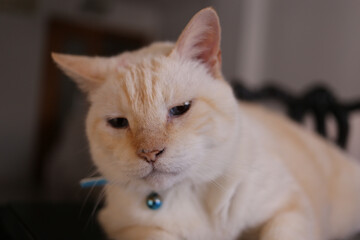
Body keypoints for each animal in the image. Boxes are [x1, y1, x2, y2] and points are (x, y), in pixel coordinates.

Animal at [51, 7, 360, 240]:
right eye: (118, 123)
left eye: (180, 110)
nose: (150, 153)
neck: (187, 194)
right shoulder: (127, 228)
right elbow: (156, 234)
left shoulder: (288, 208)